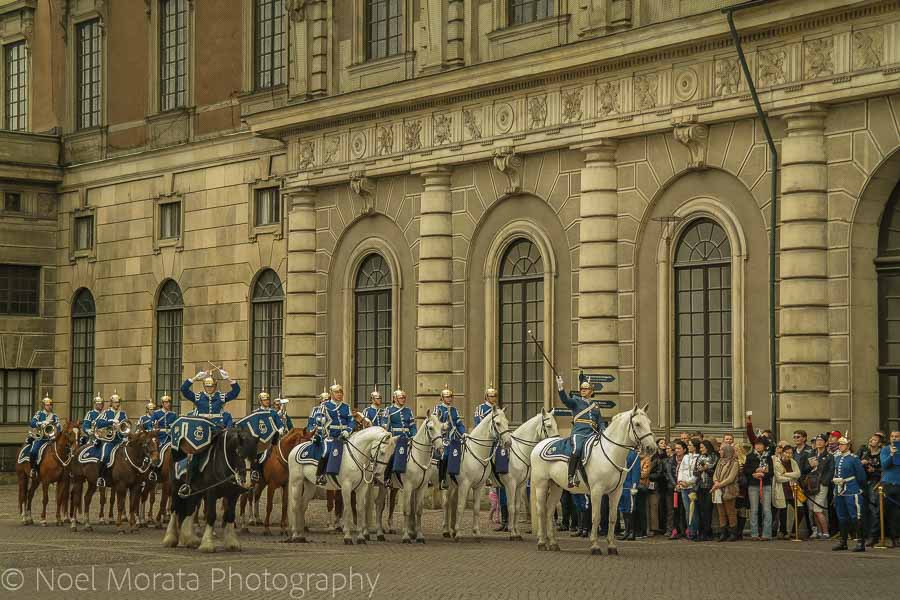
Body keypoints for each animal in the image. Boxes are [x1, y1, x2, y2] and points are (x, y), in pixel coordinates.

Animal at [444, 406, 512, 540]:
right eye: (497, 423)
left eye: (507, 422)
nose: (508, 443)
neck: (477, 451)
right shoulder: (464, 485)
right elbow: (461, 507)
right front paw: (458, 533)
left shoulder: (478, 486)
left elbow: (476, 508)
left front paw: (476, 532)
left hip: (452, 485)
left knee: (448, 503)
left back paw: (448, 531)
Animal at [496, 410, 560, 540]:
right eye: (549, 426)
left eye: (556, 425)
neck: (518, 451)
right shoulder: (511, 484)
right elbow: (511, 507)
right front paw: (512, 532)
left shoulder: (520, 485)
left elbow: (517, 507)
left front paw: (516, 532)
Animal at [528, 406, 652, 556]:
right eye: (638, 424)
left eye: (649, 422)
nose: (652, 447)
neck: (611, 452)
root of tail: (539, 445)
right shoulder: (597, 491)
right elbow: (596, 517)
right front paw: (595, 546)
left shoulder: (617, 491)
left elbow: (612, 517)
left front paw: (611, 546)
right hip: (541, 484)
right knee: (541, 510)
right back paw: (541, 542)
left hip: (556, 486)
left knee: (550, 510)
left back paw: (553, 543)